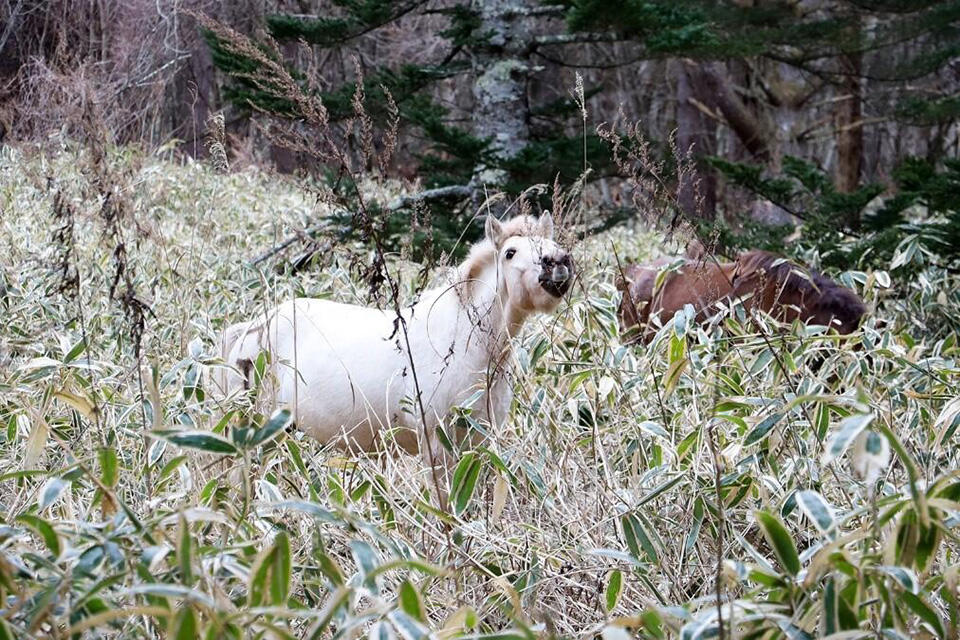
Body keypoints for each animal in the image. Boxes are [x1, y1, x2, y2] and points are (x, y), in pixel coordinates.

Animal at [216, 212, 576, 468]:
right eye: (510, 252)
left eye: (552, 243)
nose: (558, 264)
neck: (462, 345)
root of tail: (253, 327)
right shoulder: (436, 447)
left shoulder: (478, 445)